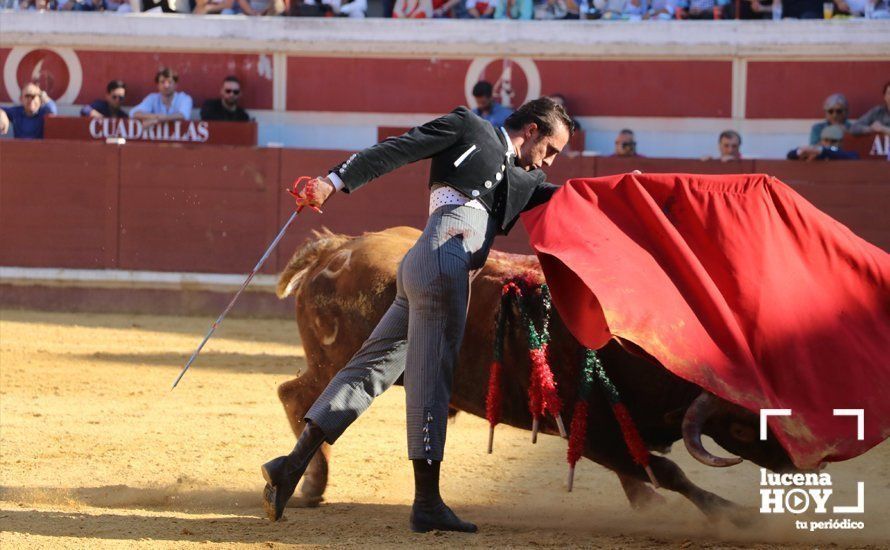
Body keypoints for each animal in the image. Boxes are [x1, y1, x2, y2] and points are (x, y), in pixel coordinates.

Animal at [274, 227, 796, 528]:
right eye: (741, 425)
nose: (795, 463)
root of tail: (337, 247)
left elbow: (639, 468)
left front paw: (650, 507)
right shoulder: (590, 428)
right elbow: (663, 469)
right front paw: (733, 514)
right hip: (336, 362)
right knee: (298, 396)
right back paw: (305, 485)